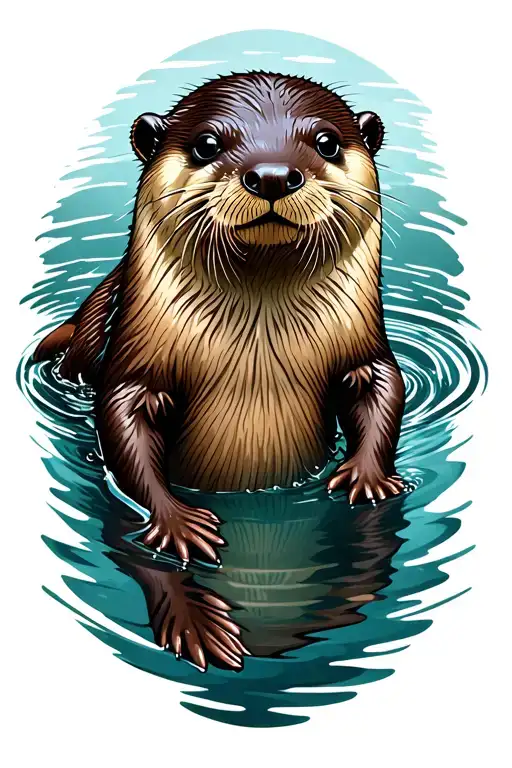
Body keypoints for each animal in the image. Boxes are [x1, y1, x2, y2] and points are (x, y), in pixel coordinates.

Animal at [34, 72, 405, 570]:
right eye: (207, 144)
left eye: (326, 142)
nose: (272, 175)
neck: (257, 361)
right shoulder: (134, 366)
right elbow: (120, 423)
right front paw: (176, 522)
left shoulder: (363, 351)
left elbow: (383, 385)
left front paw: (368, 477)